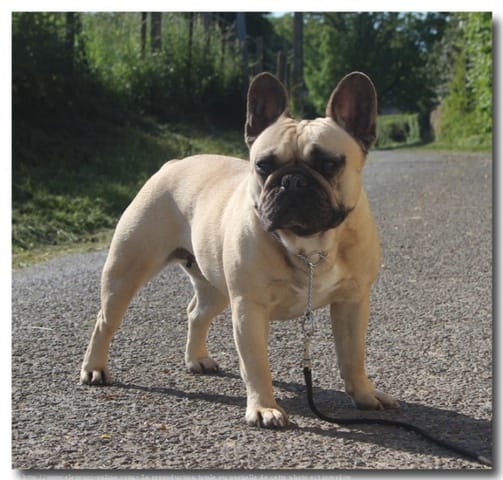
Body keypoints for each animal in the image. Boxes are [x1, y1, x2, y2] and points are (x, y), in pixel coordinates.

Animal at [80, 71, 399, 427]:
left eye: (329, 164)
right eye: (263, 165)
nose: (292, 180)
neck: (309, 244)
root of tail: (172, 164)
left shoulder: (352, 302)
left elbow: (353, 356)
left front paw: (365, 396)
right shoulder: (249, 308)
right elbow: (256, 364)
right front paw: (264, 408)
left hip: (216, 287)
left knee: (196, 312)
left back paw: (197, 359)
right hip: (127, 270)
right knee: (105, 320)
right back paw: (94, 369)